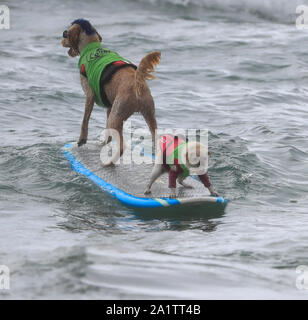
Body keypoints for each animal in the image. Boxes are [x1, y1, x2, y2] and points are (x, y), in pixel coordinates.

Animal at [61, 18, 160, 165]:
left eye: (66, 34)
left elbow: (85, 120)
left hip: (117, 116)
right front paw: (105, 143)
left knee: (122, 146)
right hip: (149, 115)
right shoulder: (109, 106)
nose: (61, 39)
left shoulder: (89, 96)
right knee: (156, 138)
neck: (92, 47)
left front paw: (82, 140)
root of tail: (136, 82)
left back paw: (109, 162)